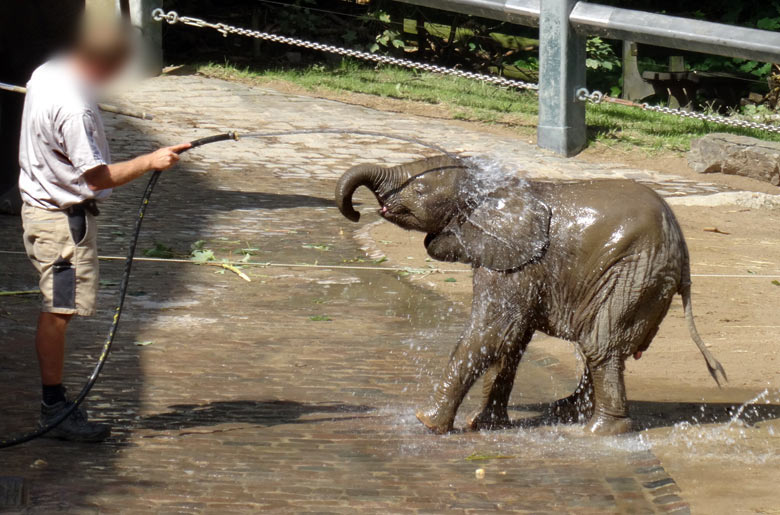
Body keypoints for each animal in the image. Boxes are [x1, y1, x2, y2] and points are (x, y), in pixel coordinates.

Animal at [334, 154, 724, 436]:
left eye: (418, 191)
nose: (355, 212)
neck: (494, 189)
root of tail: (684, 256)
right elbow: (512, 341)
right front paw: (484, 426)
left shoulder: (519, 260)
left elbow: (493, 332)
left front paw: (425, 422)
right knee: (603, 345)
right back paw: (565, 412)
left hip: (634, 268)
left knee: (600, 344)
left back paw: (596, 433)